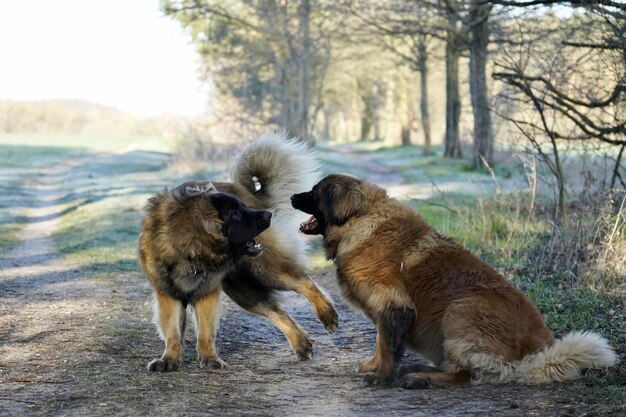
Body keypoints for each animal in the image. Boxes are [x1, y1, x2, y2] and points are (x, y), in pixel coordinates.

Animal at [139, 133, 338, 370]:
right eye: (234, 213)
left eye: (241, 207)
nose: (267, 216)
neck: (189, 251)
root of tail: (251, 194)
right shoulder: (168, 293)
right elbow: (172, 331)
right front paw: (168, 360)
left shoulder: (207, 292)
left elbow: (205, 332)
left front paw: (210, 359)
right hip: (243, 289)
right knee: (278, 312)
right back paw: (301, 344)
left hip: (266, 270)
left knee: (304, 283)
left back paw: (328, 316)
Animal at [292, 173, 616, 386]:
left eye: (314, 192)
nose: (293, 196)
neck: (359, 220)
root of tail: (539, 354)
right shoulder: (386, 312)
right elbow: (379, 340)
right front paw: (374, 366)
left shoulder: (393, 305)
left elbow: (386, 344)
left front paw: (382, 376)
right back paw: (416, 371)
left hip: (460, 310)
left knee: (465, 374)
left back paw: (419, 377)